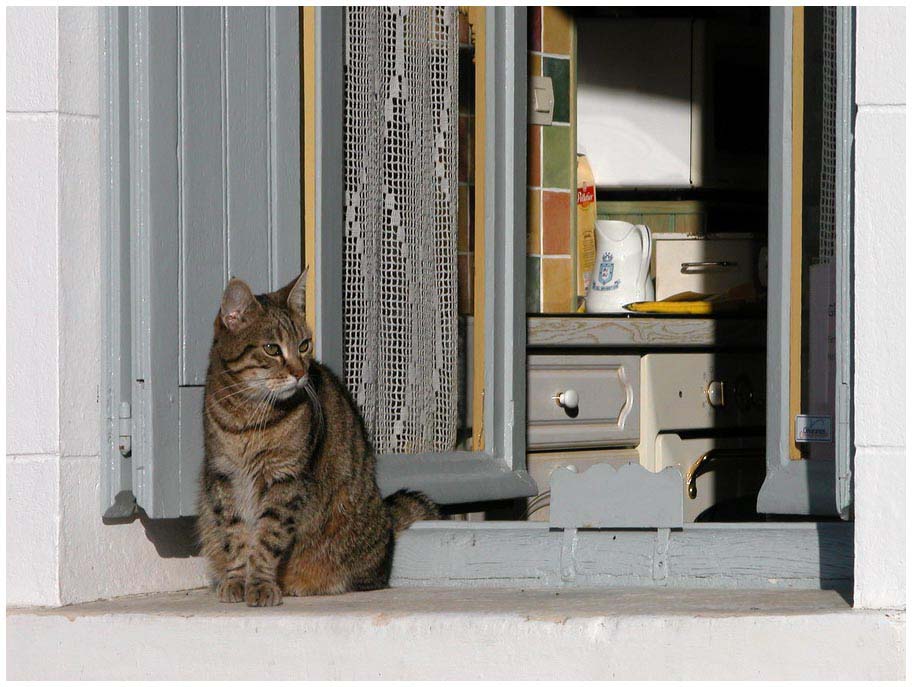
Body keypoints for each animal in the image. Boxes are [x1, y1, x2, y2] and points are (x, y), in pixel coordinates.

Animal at [197, 272, 438, 608]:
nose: (300, 372)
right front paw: (235, 581)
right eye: (272, 348)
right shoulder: (223, 476)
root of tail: (386, 517)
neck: (248, 417)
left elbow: (267, 538)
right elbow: (235, 536)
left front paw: (259, 584)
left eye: (303, 345)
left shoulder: (286, 479)